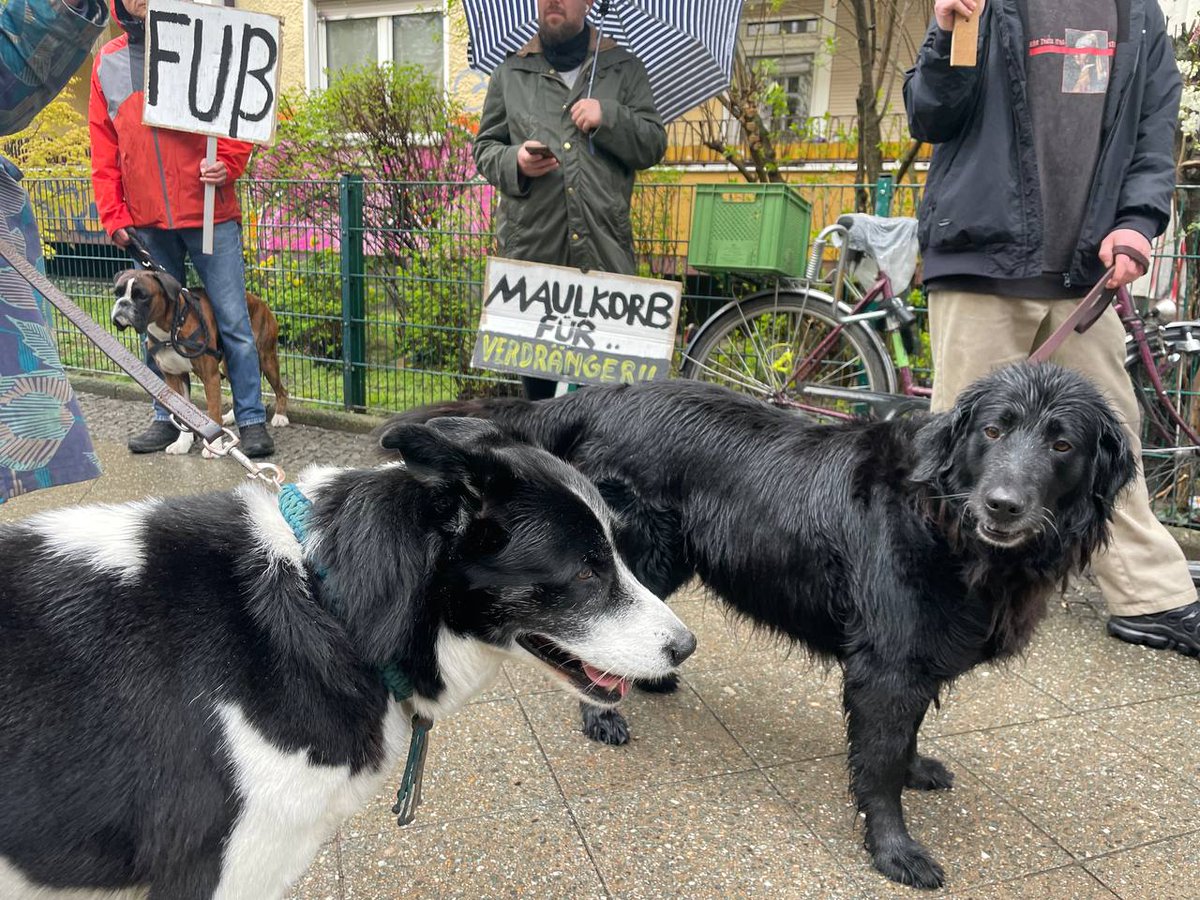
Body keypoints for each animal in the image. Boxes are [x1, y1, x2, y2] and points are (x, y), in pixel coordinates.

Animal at [112, 266, 290, 451]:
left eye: (142, 296)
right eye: (117, 293)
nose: (123, 303)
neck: (172, 330)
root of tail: (260, 301)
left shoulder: (210, 377)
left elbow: (213, 412)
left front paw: (214, 447)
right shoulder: (173, 377)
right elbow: (182, 414)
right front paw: (183, 443)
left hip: (266, 358)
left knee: (281, 390)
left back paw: (280, 417)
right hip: (228, 366)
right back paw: (231, 416)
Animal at [398, 364, 1137, 888]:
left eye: (1062, 442)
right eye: (992, 431)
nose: (1003, 504)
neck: (942, 514)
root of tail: (603, 392)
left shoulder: (915, 659)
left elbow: (905, 740)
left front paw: (918, 769)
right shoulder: (886, 663)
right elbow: (877, 765)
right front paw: (894, 850)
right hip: (629, 552)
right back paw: (603, 714)